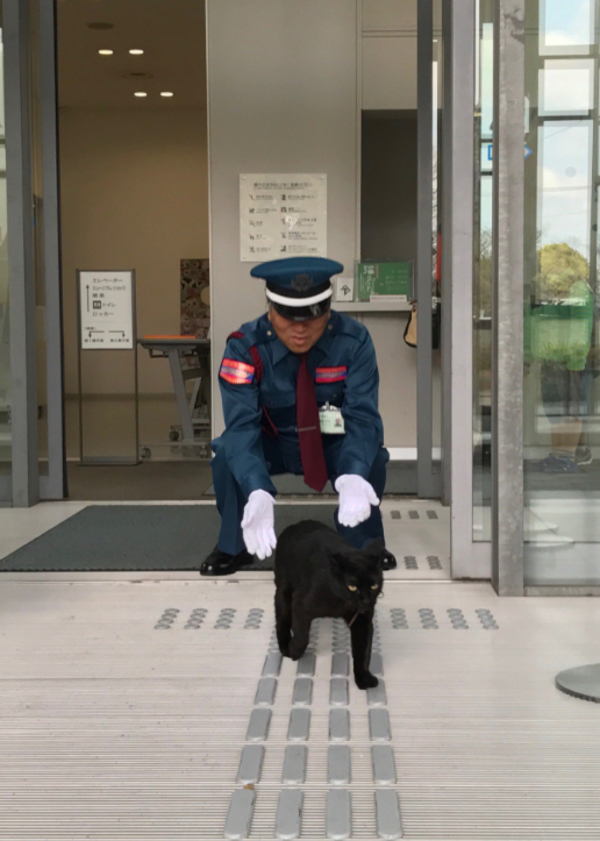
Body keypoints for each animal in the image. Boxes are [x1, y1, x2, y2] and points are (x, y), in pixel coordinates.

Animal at [276, 520, 386, 688]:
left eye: (374, 585)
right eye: (352, 586)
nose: (366, 600)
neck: (340, 602)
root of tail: (295, 525)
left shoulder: (362, 621)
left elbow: (363, 650)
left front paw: (363, 678)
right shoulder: (301, 604)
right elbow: (302, 636)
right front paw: (294, 651)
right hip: (284, 589)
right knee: (281, 619)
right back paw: (285, 647)